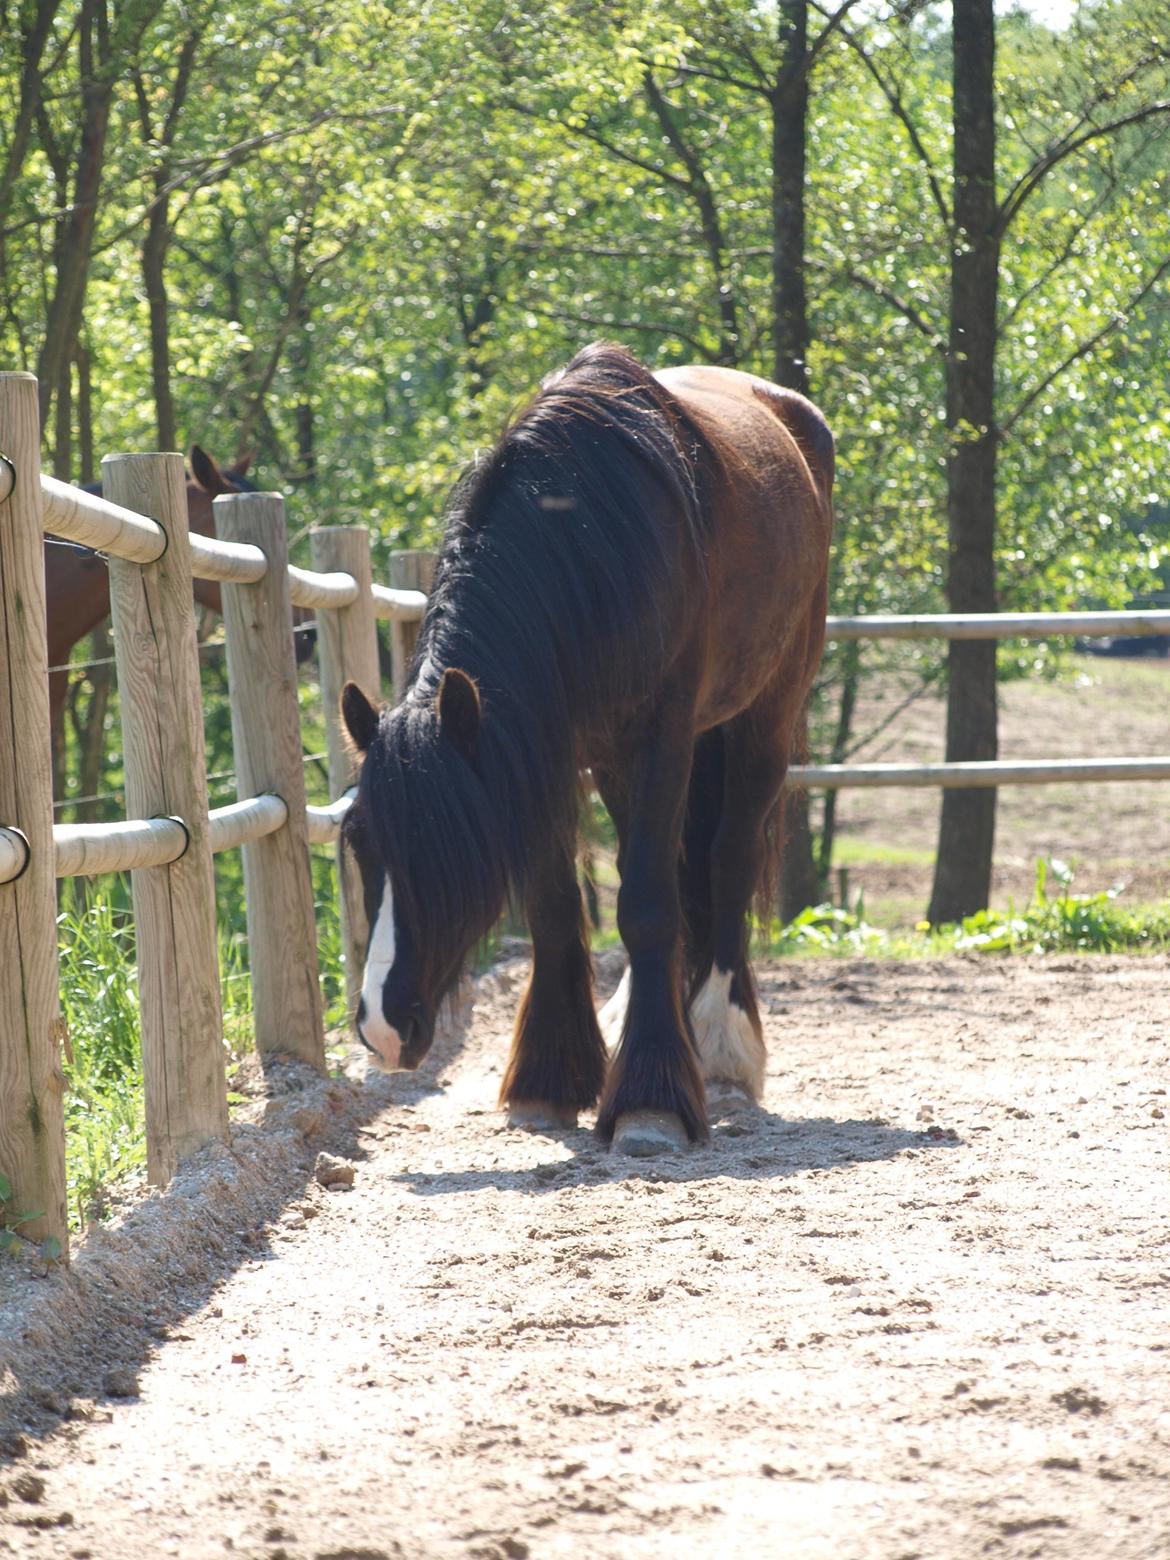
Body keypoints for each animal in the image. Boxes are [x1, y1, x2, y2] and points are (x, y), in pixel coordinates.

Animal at [338, 347, 836, 1154]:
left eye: (450, 846)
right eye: (358, 842)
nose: (382, 1028)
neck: (584, 534)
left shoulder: (660, 735)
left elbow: (646, 905)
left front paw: (651, 1102)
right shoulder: (548, 747)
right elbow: (557, 904)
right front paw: (549, 1080)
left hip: (766, 713)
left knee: (726, 864)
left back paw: (722, 1054)